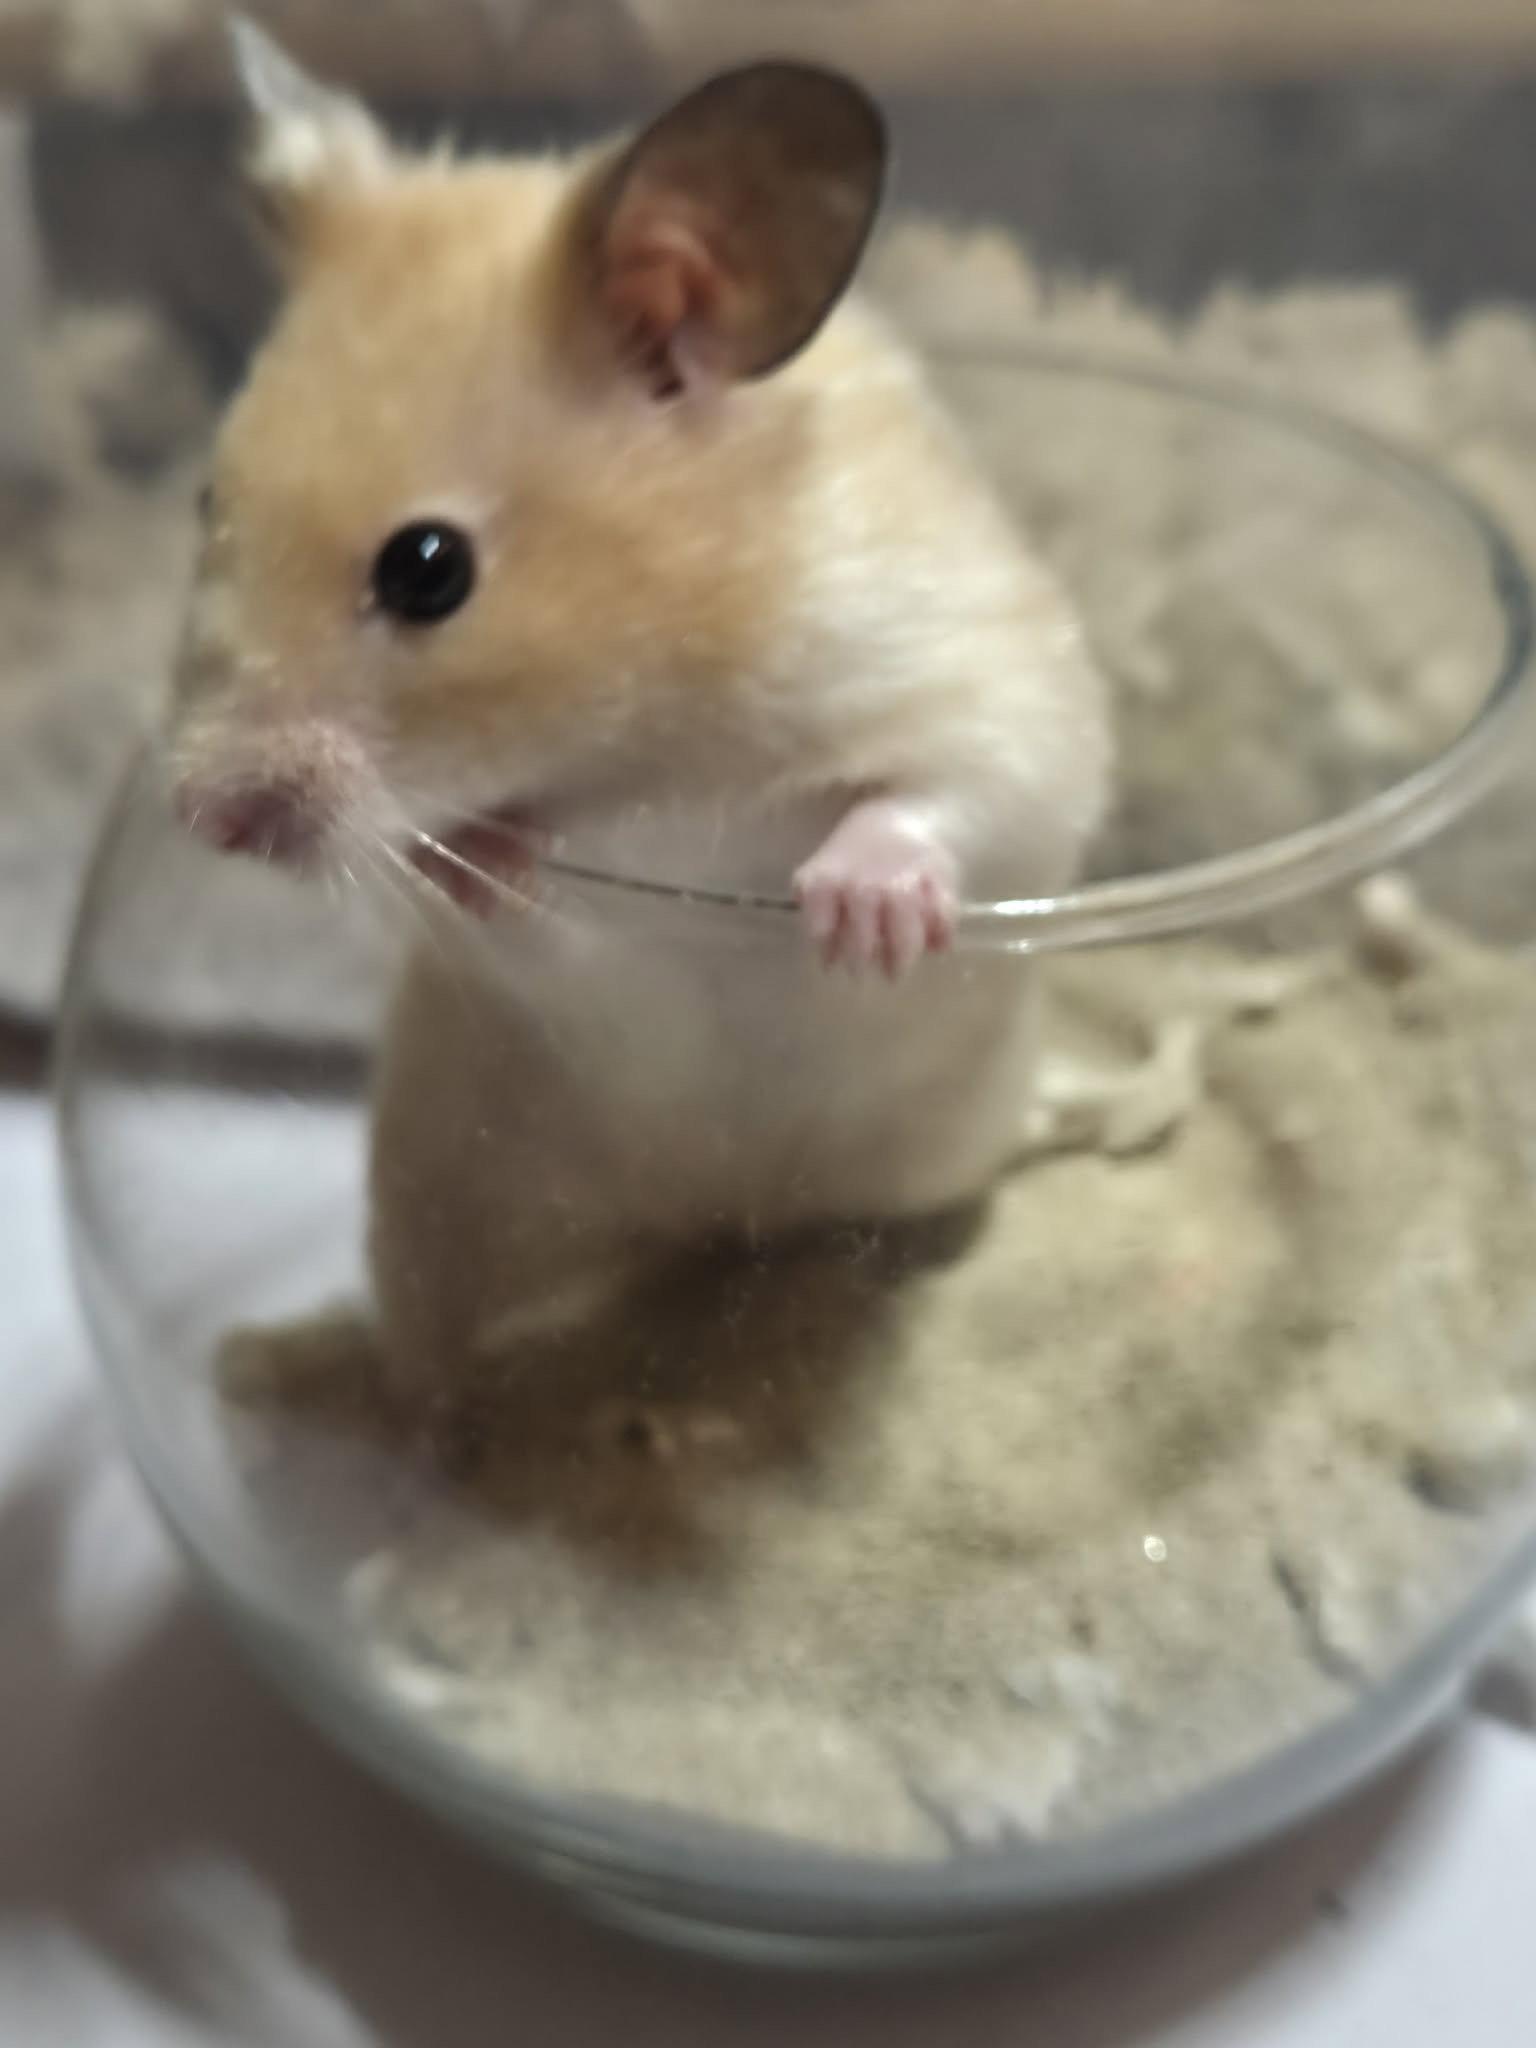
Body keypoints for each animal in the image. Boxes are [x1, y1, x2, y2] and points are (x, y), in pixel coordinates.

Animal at [169, 21, 1111, 1393]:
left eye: (428, 568)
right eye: (206, 504)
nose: (205, 819)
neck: (651, 734)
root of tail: (722, 1222)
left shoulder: (987, 678)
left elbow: (944, 793)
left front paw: (858, 920)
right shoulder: (546, 957)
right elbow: (517, 911)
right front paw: (490, 852)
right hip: (443, 1183)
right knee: (420, 1365)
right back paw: (300, 1369)